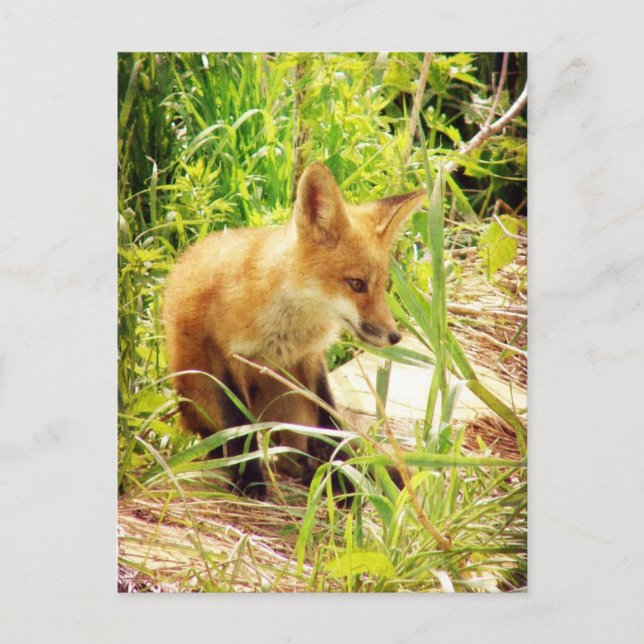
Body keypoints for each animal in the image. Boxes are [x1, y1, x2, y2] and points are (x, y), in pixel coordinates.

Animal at [163, 162, 425, 500]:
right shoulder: (222, 353)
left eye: (382, 286)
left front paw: (343, 477)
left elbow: (329, 422)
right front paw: (249, 480)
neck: (286, 328)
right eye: (356, 284)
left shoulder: (310, 357)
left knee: (300, 446)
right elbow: (240, 426)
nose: (395, 336)